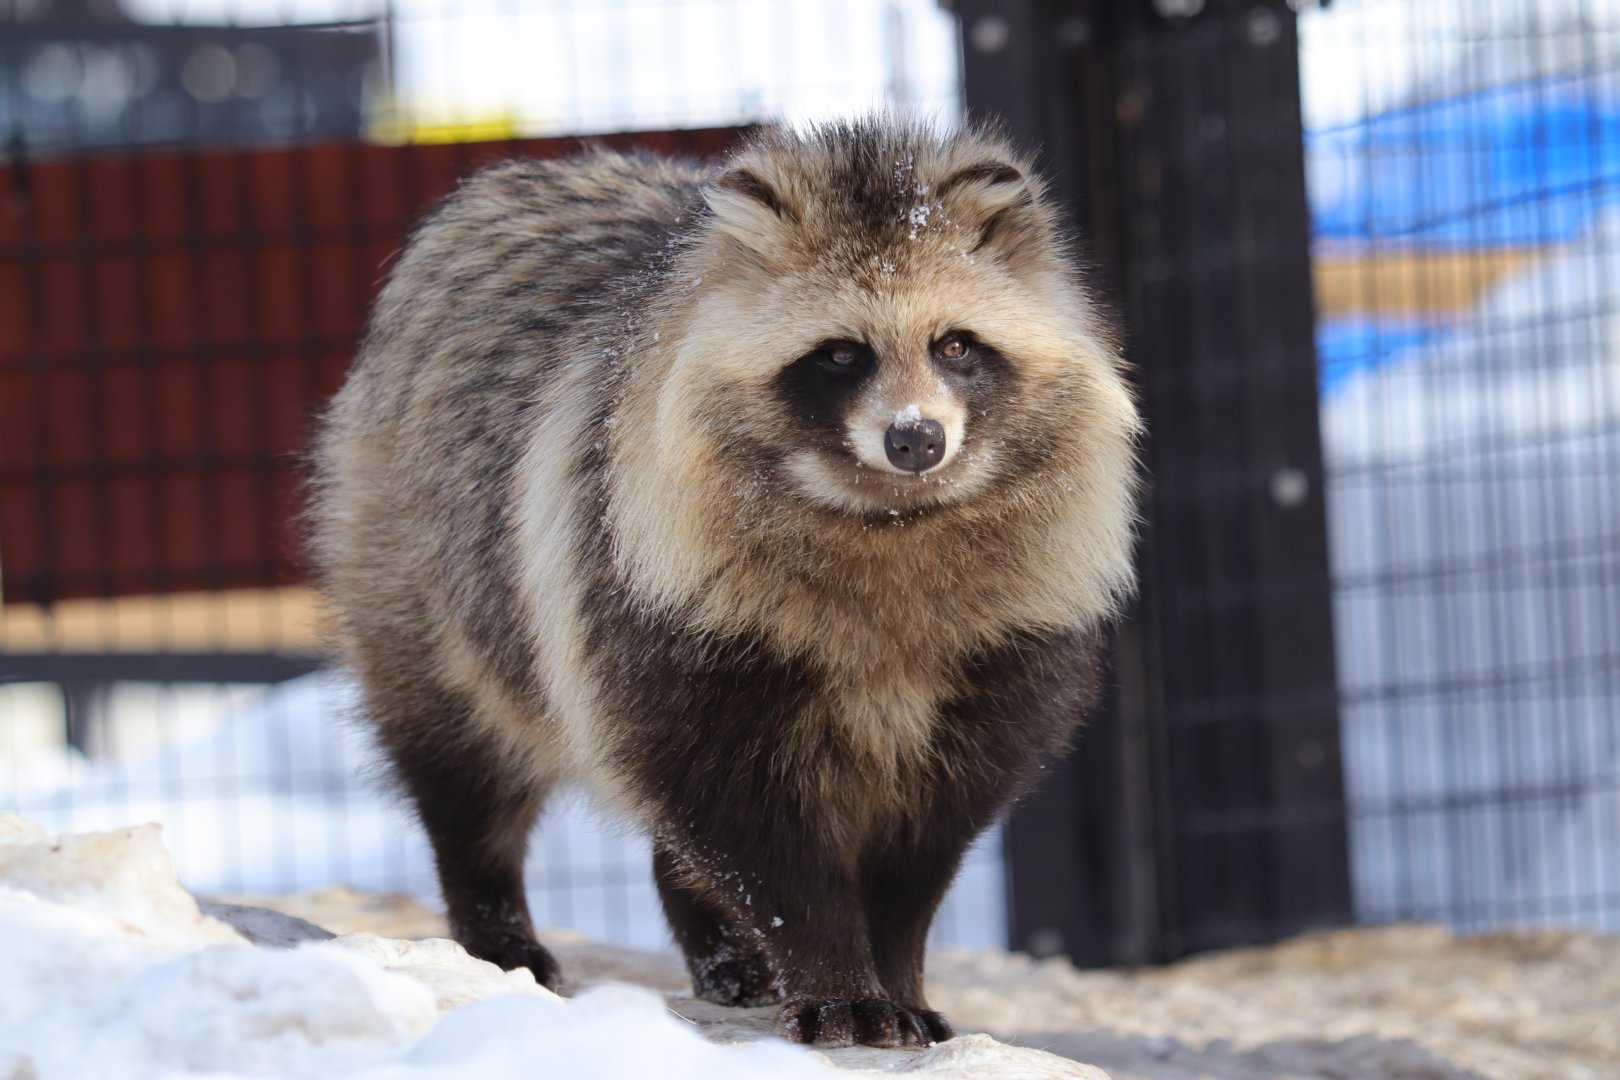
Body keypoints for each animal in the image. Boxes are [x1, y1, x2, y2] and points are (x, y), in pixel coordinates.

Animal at [311, 118, 1140, 1049]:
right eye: (840, 355)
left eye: (955, 344)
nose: (916, 439)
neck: (889, 521)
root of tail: (517, 173)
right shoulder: (666, 600)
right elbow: (759, 838)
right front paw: (836, 976)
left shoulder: (1002, 649)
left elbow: (917, 856)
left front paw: (897, 972)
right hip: (420, 575)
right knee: (463, 765)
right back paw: (494, 920)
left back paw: (717, 947)